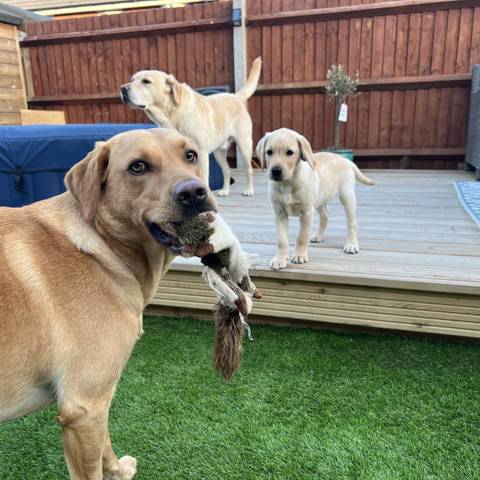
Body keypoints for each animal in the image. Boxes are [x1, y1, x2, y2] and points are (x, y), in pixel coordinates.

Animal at [0, 125, 216, 478]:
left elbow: (105, 444)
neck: (102, 245)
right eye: (138, 166)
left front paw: (116, 470)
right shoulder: (83, 408)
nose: (194, 193)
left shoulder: (97, 402)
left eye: (190, 155)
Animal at [120, 57, 262, 197]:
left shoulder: (201, 153)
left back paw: (249, 190)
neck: (171, 115)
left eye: (146, 81)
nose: (122, 88)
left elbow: (203, 179)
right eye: (132, 80)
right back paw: (225, 190)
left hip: (244, 145)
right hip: (219, 153)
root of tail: (236, 96)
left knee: (249, 169)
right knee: (227, 170)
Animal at [258, 128, 376, 270]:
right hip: (321, 199)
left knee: (352, 222)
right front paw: (280, 259)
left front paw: (299, 256)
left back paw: (351, 244)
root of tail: (346, 160)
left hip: (347, 195)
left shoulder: (307, 212)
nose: (275, 171)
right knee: (325, 215)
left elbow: (302, 237)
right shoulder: (279, 213)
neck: (288, 183)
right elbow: (282, 240)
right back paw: (319, 236)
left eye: (289, 152)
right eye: (269, 152)